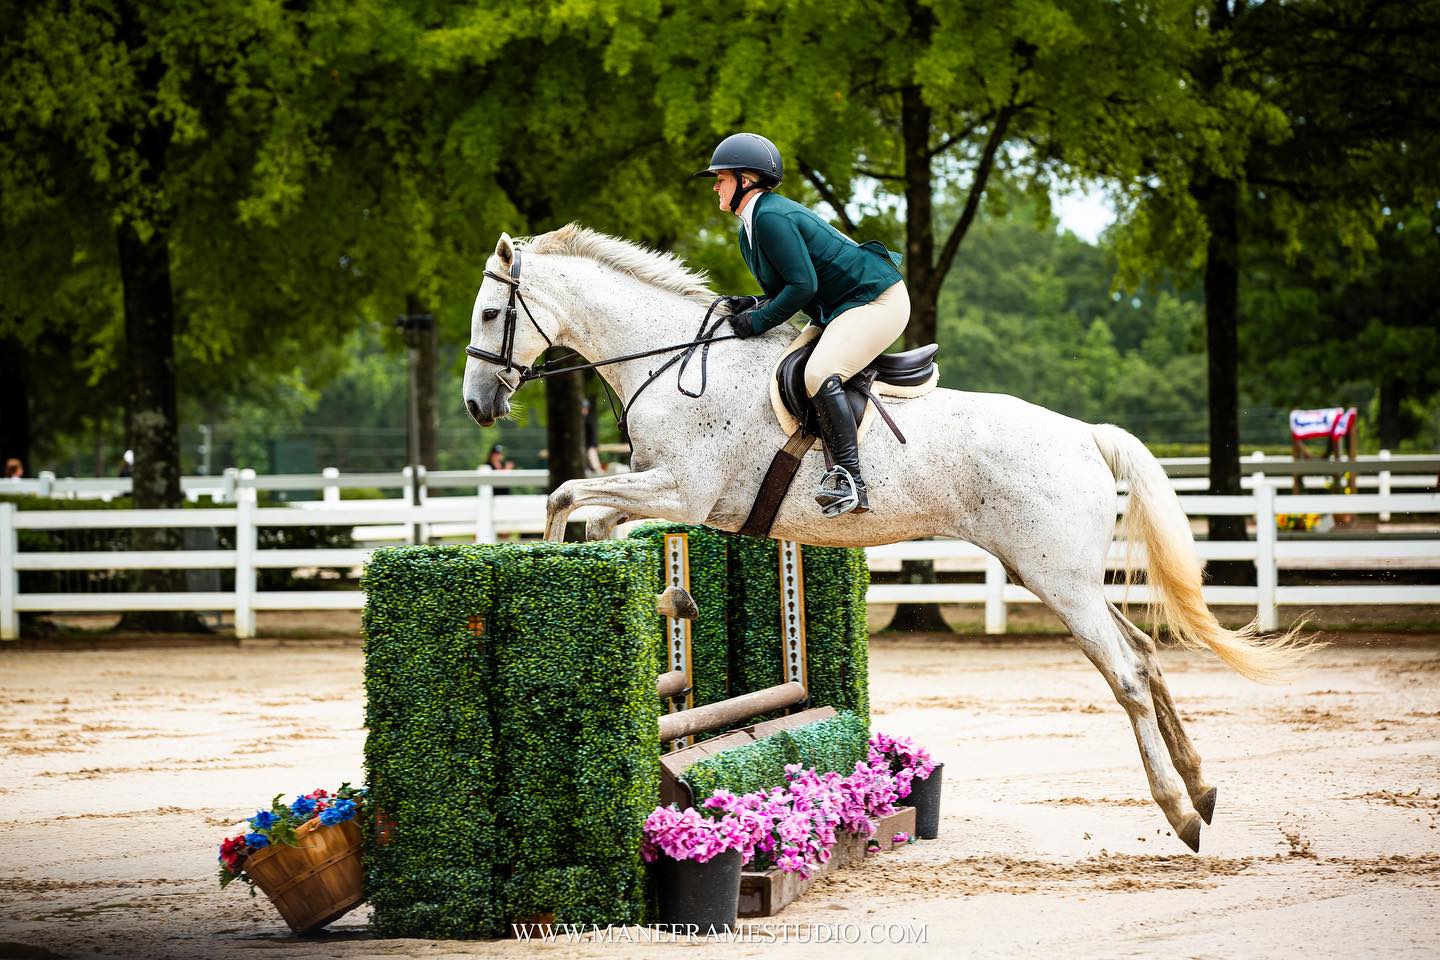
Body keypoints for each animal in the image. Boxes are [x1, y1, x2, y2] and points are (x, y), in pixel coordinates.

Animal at [461, 224, 1307, 852]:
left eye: (491, 316)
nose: (476, 405)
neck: (670, 363)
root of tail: (1085, 435)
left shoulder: (681, 488)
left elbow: (566, 496)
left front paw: (555, 563)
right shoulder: (665, 490)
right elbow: (600, 518)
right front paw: (665, 599)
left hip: (1057, 580)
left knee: (1127, 673)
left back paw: (1181, 812)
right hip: (1062, 579)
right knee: (1147, 654)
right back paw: (1202, 785)